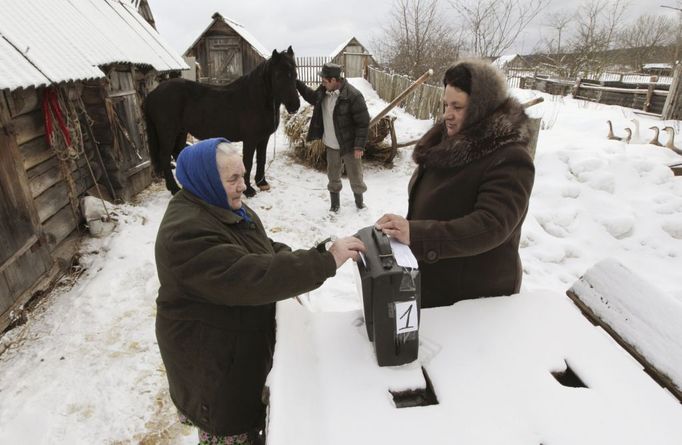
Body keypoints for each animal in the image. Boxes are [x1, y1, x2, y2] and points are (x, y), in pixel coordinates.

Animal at [142, 45, 298, 196]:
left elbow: (262, 159)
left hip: (181, 132)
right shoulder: (250, 140)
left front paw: (262, 183)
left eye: (295, 74)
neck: (256, 99)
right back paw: (174, 188)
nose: (294, 106)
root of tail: (152, 94)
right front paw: (248, 190)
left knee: (177, 152)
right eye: (278, 75)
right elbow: (247, 163)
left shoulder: (263, 138)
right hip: (168, 133)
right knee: (165, 156)